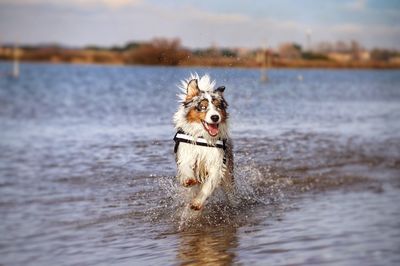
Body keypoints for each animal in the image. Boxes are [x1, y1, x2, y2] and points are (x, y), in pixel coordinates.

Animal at [173, 74, 234, 211]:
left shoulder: (217, 164)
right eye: (203, 107)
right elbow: (186, 167)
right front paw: (188, 180)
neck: (203, 137)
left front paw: (197, 202)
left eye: (218, 107)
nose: (215, 117)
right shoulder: (187, 153)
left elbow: (207, 186)